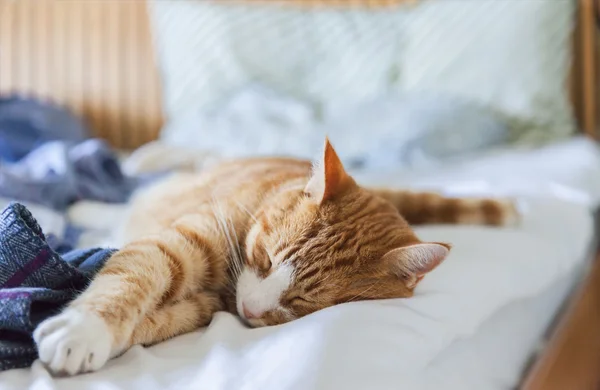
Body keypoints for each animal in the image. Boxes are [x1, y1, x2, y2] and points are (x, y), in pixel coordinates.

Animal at [35, 139, 516, 374]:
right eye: (264, 259)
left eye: (301, 302)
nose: (249, 309)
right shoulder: (180, 243)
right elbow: (132, 275)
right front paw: (84, 329)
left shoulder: (196, 309)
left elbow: (147, 322)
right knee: (197, 156)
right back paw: (135, 165)